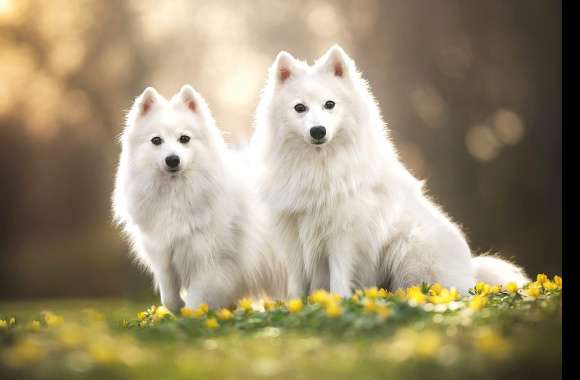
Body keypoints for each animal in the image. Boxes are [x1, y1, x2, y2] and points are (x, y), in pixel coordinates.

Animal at [112, 85, 286, 312]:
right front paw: (178, 308)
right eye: (156, 140)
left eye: (184, 139)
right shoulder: (164, 257)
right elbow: (169, 299)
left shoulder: (210, 263)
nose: (172, 159)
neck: (177, 194)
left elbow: (195, 304)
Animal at [250, 46, 532, 298]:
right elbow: (297, 285)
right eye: (300, 108)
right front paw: (295, 307)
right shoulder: (293, 234)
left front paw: (339, 302)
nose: (318, 131)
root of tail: (470, 274)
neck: (317, 164)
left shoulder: (343, 233)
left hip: (409, 249)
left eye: (329, 104)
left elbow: (339, 276)